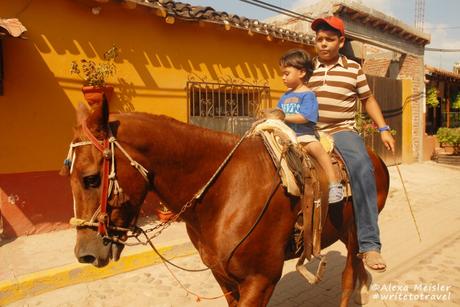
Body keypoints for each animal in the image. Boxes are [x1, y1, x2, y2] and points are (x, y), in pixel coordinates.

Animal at [64, 100, 388, 306]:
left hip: (356, 232)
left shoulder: (261, 280)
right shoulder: (225, 278)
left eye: (91, 179)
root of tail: (375, 158)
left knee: (349, 274)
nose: (85, 254)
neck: (225, 192)